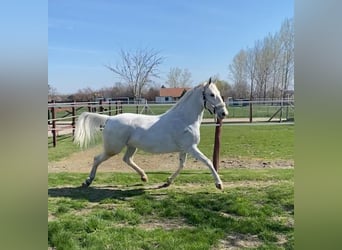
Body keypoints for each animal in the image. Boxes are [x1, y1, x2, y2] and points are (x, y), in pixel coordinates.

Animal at [75, 77, 230, 188]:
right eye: (212, 94)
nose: (224, 113)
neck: (184, 119)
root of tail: (110, 118)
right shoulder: (191, 148)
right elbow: (208, 162)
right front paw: (219, 184)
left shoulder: (184, 149)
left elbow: (182, 165)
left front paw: (167, 181)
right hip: (113, 148)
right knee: (97, 159)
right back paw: (88, 181)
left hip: (131, 146)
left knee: (127, 159)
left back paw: (144, 176)